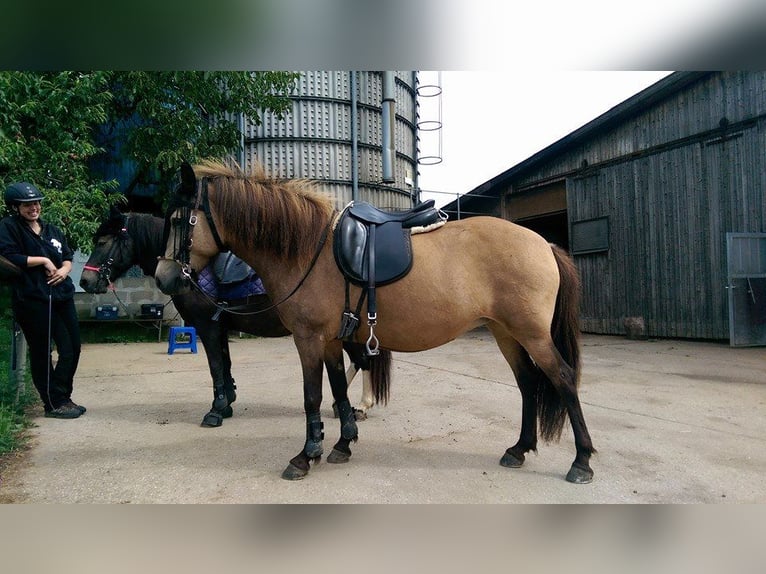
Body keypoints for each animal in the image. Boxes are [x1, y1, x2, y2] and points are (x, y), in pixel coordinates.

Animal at [80, 207, 390, 427]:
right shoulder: (221, 325)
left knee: (364, 360)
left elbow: (215, 365)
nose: (85, 280)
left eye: (103, 241)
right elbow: (225, 364)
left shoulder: (206, 325)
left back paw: (359, 405)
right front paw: (227, 402)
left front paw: (215, 411)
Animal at [155, 160, 595, 484]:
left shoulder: (308, 338)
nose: (163, 278)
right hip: (507, 332)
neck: (305, 248)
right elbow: (338, 391)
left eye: (178, 221)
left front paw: (305, 456)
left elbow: (312, 396)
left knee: (562, 378)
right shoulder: (332, 339)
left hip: (532, 333)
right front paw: (342, 444)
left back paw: (582, 461)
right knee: (528, 383)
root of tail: (543, 243)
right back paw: (518, 450)